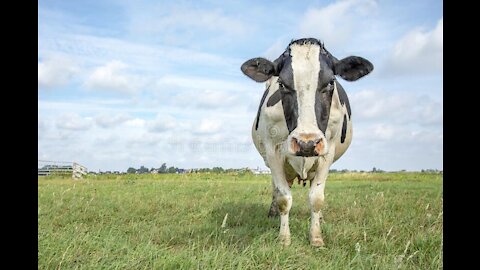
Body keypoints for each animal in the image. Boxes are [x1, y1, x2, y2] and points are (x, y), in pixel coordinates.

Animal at [242, 38, 374, 247]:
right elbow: (283, 198)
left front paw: (316, 237)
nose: (306, 143)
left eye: (331, 82)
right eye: (282, 83)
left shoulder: (327, 152)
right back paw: (272, 212)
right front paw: (284, 238)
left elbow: (316, 198)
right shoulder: (273, 151)